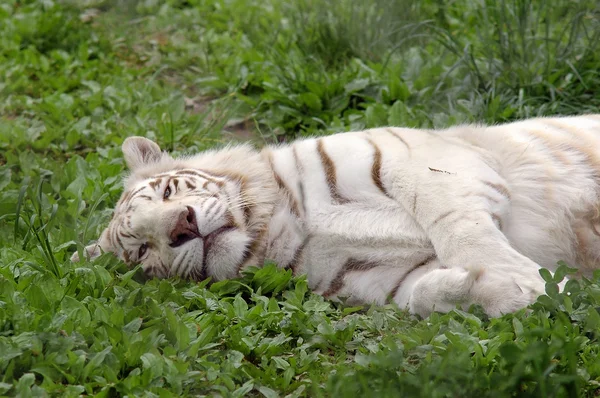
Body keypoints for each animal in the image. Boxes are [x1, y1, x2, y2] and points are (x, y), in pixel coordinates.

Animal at [71, 115, 600, 318]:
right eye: (142, 251)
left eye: (167, 191)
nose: (181, 225)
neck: (280, 230)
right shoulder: (389, 278)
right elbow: (424, 294)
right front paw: (526, 291)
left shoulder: (415, 159)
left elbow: (457, 224)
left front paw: (525, 280)